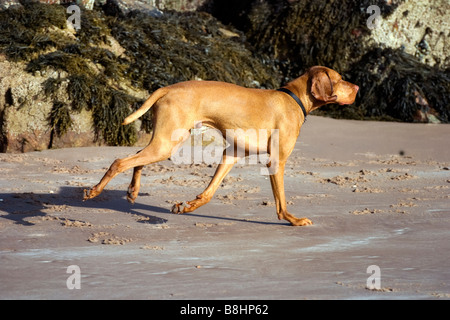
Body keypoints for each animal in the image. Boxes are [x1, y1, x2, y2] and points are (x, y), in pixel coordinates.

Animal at [83, 65, 358, 225]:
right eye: (340, 79)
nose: (357, 86)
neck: (294, 98)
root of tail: (167, 87)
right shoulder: (276, 161)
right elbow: (281, 200)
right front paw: (292, 219)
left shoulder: (232, 155)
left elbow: (210, 191)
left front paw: (188, 206)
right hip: (166, 144)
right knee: (119, 161)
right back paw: (94, 191)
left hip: (164, 141)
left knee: (137, 158)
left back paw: (132, 191)